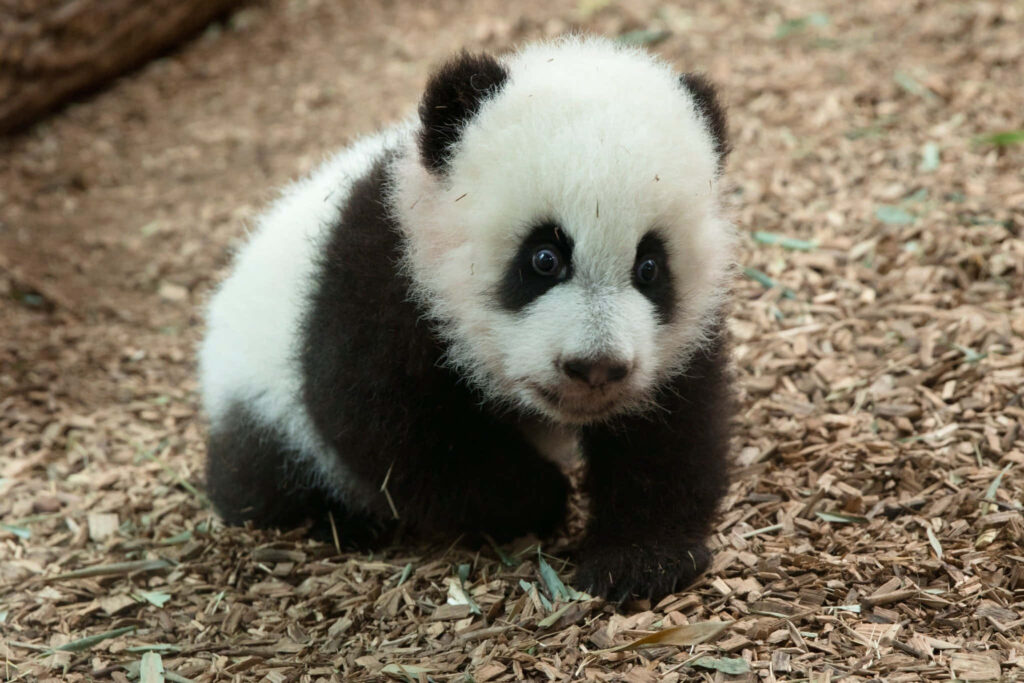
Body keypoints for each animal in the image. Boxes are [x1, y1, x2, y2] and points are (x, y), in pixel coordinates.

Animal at [199, 36, 735, 602]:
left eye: (649, 267)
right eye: (544, 258)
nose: (595, 368)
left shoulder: (676, 340)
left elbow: (671, 430)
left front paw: (640, 561)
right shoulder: (382, 280)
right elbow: (390, 431)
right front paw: (540, 496)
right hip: (261, 398)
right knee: (263, 482)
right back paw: (340, 521)